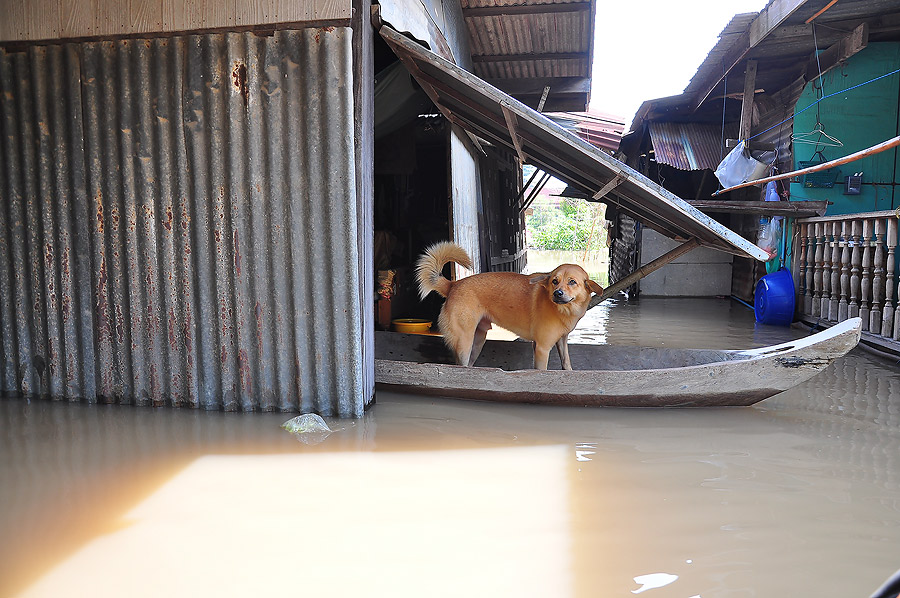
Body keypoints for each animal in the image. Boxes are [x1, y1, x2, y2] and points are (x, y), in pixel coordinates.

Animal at [414, 244, 604, 370]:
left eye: (572, 282)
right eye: (554, 281)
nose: (557, 293)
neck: (564, 310)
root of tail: (453, 284)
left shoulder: (561, 341)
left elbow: (566, 363)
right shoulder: (542, 348)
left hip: (478, 341)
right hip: (464, 341)